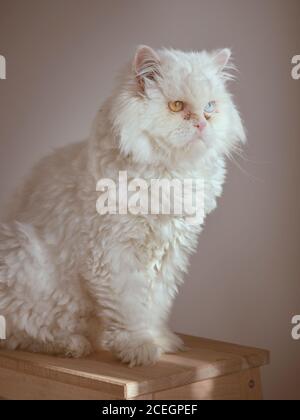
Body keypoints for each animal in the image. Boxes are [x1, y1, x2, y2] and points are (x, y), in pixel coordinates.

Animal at [0, 46, 245, 366]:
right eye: (177, 106)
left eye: (210, 107)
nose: (202, 123)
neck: (170, 174)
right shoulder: (113, 254)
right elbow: (130, 310)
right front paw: (138, 349)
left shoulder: (169, 254)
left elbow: (155, 306)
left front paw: (160, 341)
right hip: (23, 254)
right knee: (24, 333)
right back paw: (72, 345)